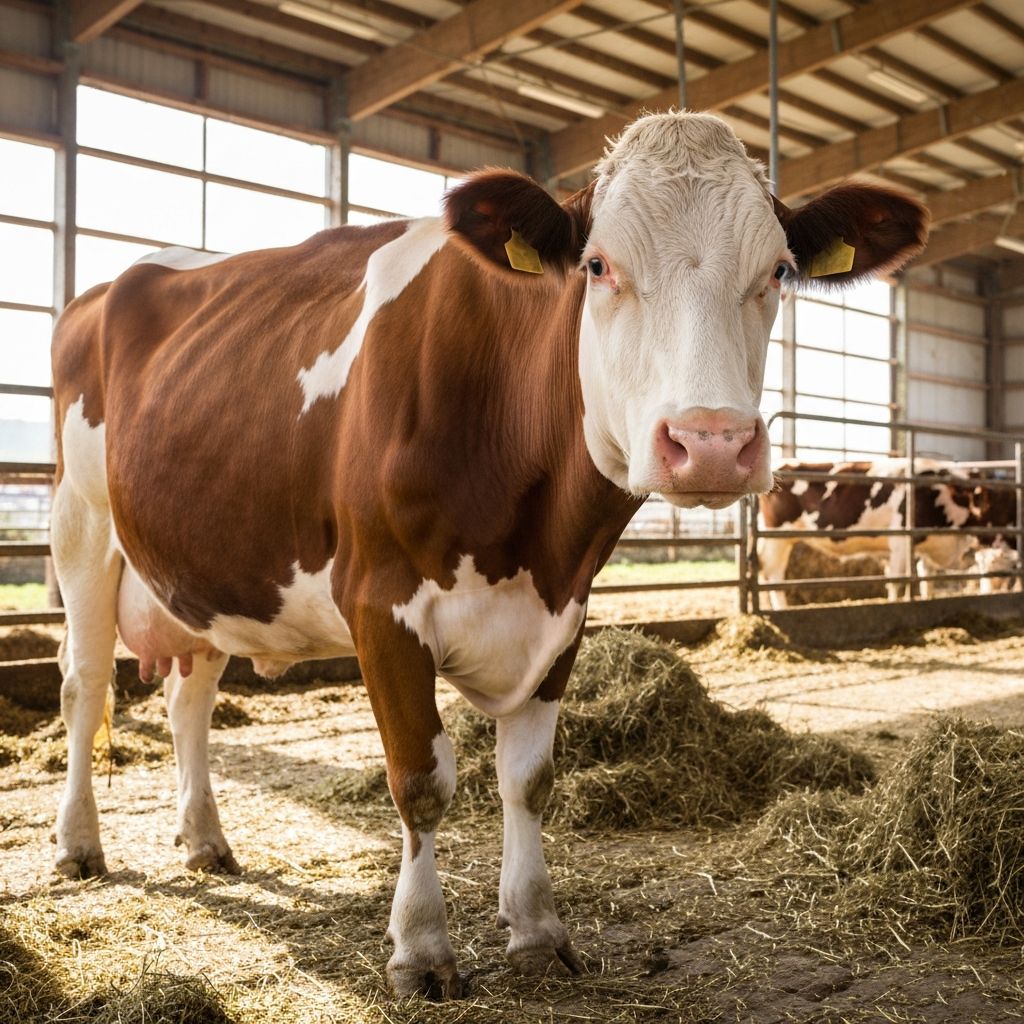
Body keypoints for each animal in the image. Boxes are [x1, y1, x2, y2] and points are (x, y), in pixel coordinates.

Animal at [50, 111, 926, 997]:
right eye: (598, 266)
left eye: (777, 270)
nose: (711, 442)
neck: (528, 532)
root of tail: (109, 286)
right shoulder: (379, 602)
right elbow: (421, 780)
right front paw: (421, 948)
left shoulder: (565, 606)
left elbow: (528, 778)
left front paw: (536, 928)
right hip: (80, 524)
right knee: (85, 685)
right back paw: (79, 844)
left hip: (199, 571)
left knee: (189, 697)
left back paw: (205, 839)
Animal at [757, 459, 986, 607]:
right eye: (988, 504)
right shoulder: (901, 539)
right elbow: (896, 579)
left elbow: (925, 577)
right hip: (776, 538)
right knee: (772, 575)